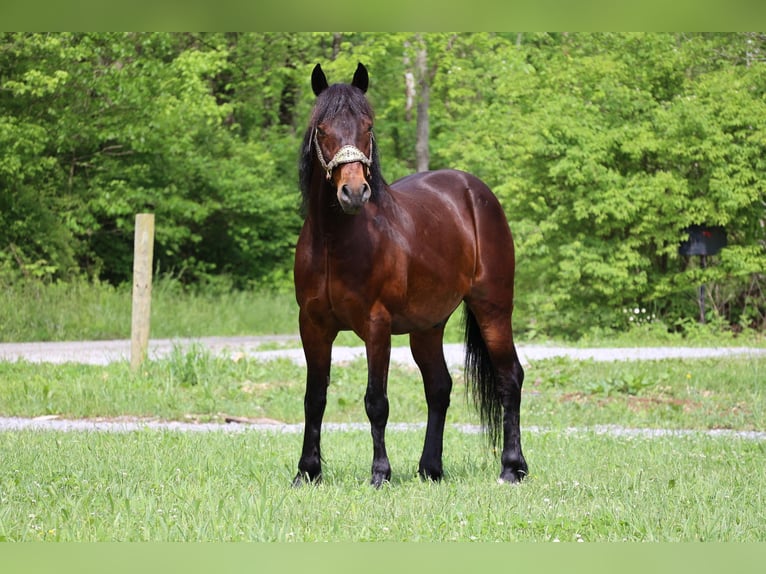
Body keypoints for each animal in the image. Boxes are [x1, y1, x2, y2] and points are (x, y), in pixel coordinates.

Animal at [294, 62, 528, 486]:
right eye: (322, 129)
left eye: (368, 127)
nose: (354, 192)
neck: (335, 242)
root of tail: (475, 191)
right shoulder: (313, 325)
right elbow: (314, 397)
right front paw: (307, 471)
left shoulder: (376, 325)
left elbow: (376, 401)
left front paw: (379, 474)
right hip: (427, 327)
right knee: (439, 387)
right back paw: (430, 468)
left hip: (493, 309)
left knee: (509, 378)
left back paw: (511, 467)